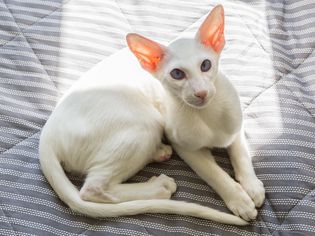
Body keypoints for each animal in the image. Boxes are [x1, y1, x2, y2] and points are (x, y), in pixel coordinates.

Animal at [39, 5, 264, 225]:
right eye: (177, 74)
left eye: (206, 65)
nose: (201, 93)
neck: (208, 114)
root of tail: (46, 135)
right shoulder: (185, 147)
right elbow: (214, 173)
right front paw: (239, 200)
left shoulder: (236, 126)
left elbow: (241, 154)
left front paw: (252, 187)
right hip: (146, 122)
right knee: (93, 188)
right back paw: (159, 187)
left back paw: (159, 152)